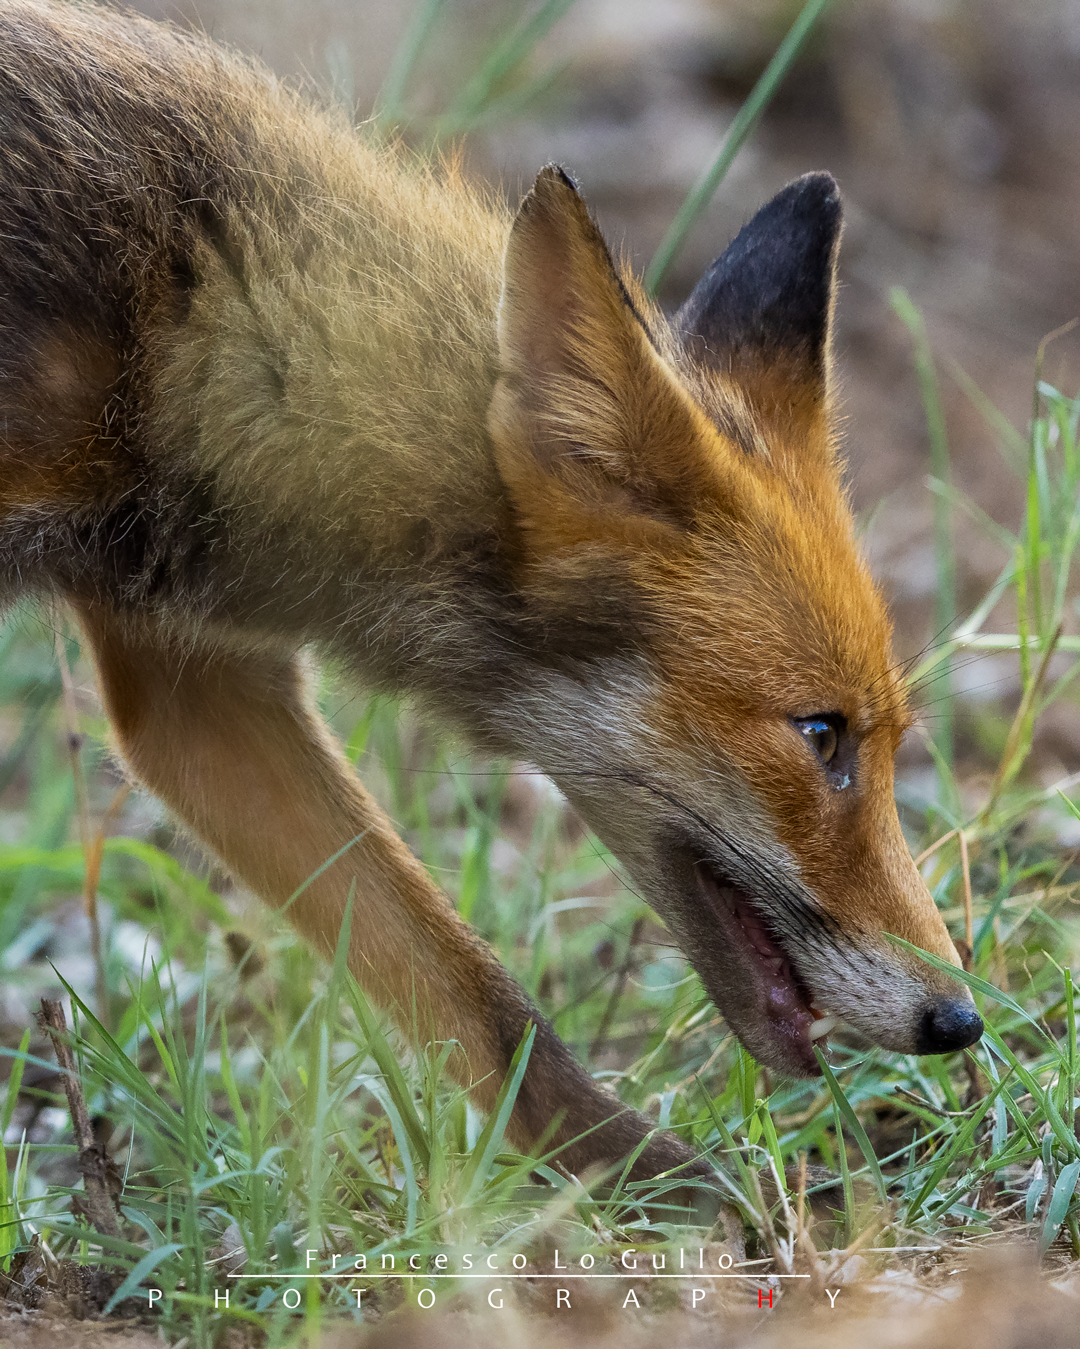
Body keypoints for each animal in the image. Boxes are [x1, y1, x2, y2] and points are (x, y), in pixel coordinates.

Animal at [0, 0, 982, 1195]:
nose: (962, 1018)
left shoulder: (197, 685)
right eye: (822, 734)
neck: (185, 322)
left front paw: (654, 1191)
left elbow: (484, 1003)